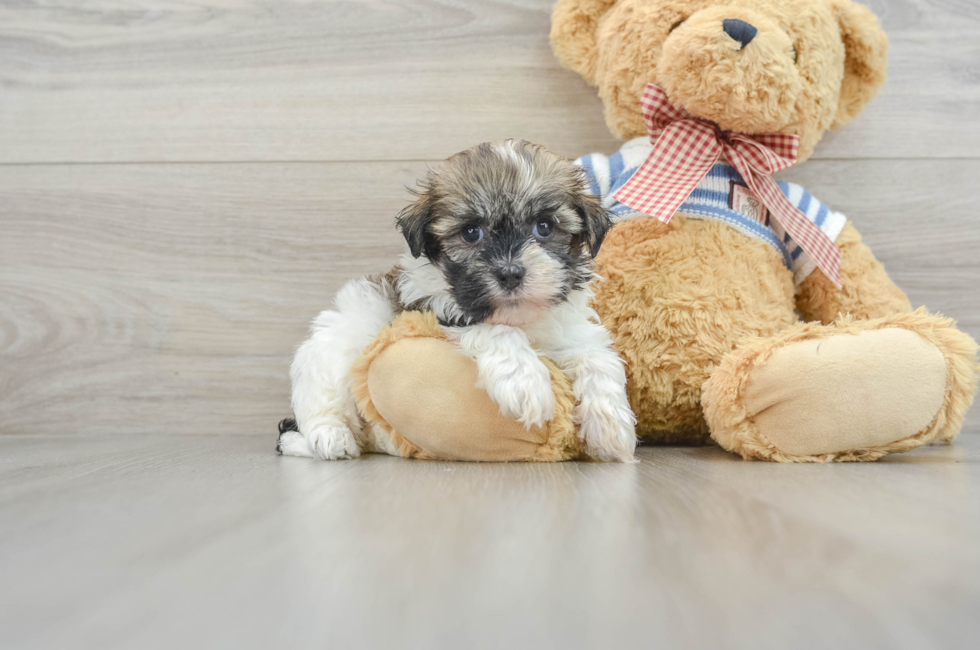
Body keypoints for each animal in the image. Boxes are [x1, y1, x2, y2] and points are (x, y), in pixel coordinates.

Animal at [280, 139, 640, 458]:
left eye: (544, 226)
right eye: (470, 232)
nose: (510, 273)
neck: (519, 318)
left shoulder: (570, 329)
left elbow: (597, 357)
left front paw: (611, 425)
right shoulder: (434, 310)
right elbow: (495, 330)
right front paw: (525, 382)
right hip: (332, 352)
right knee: (320, 406)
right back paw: (330, 439)